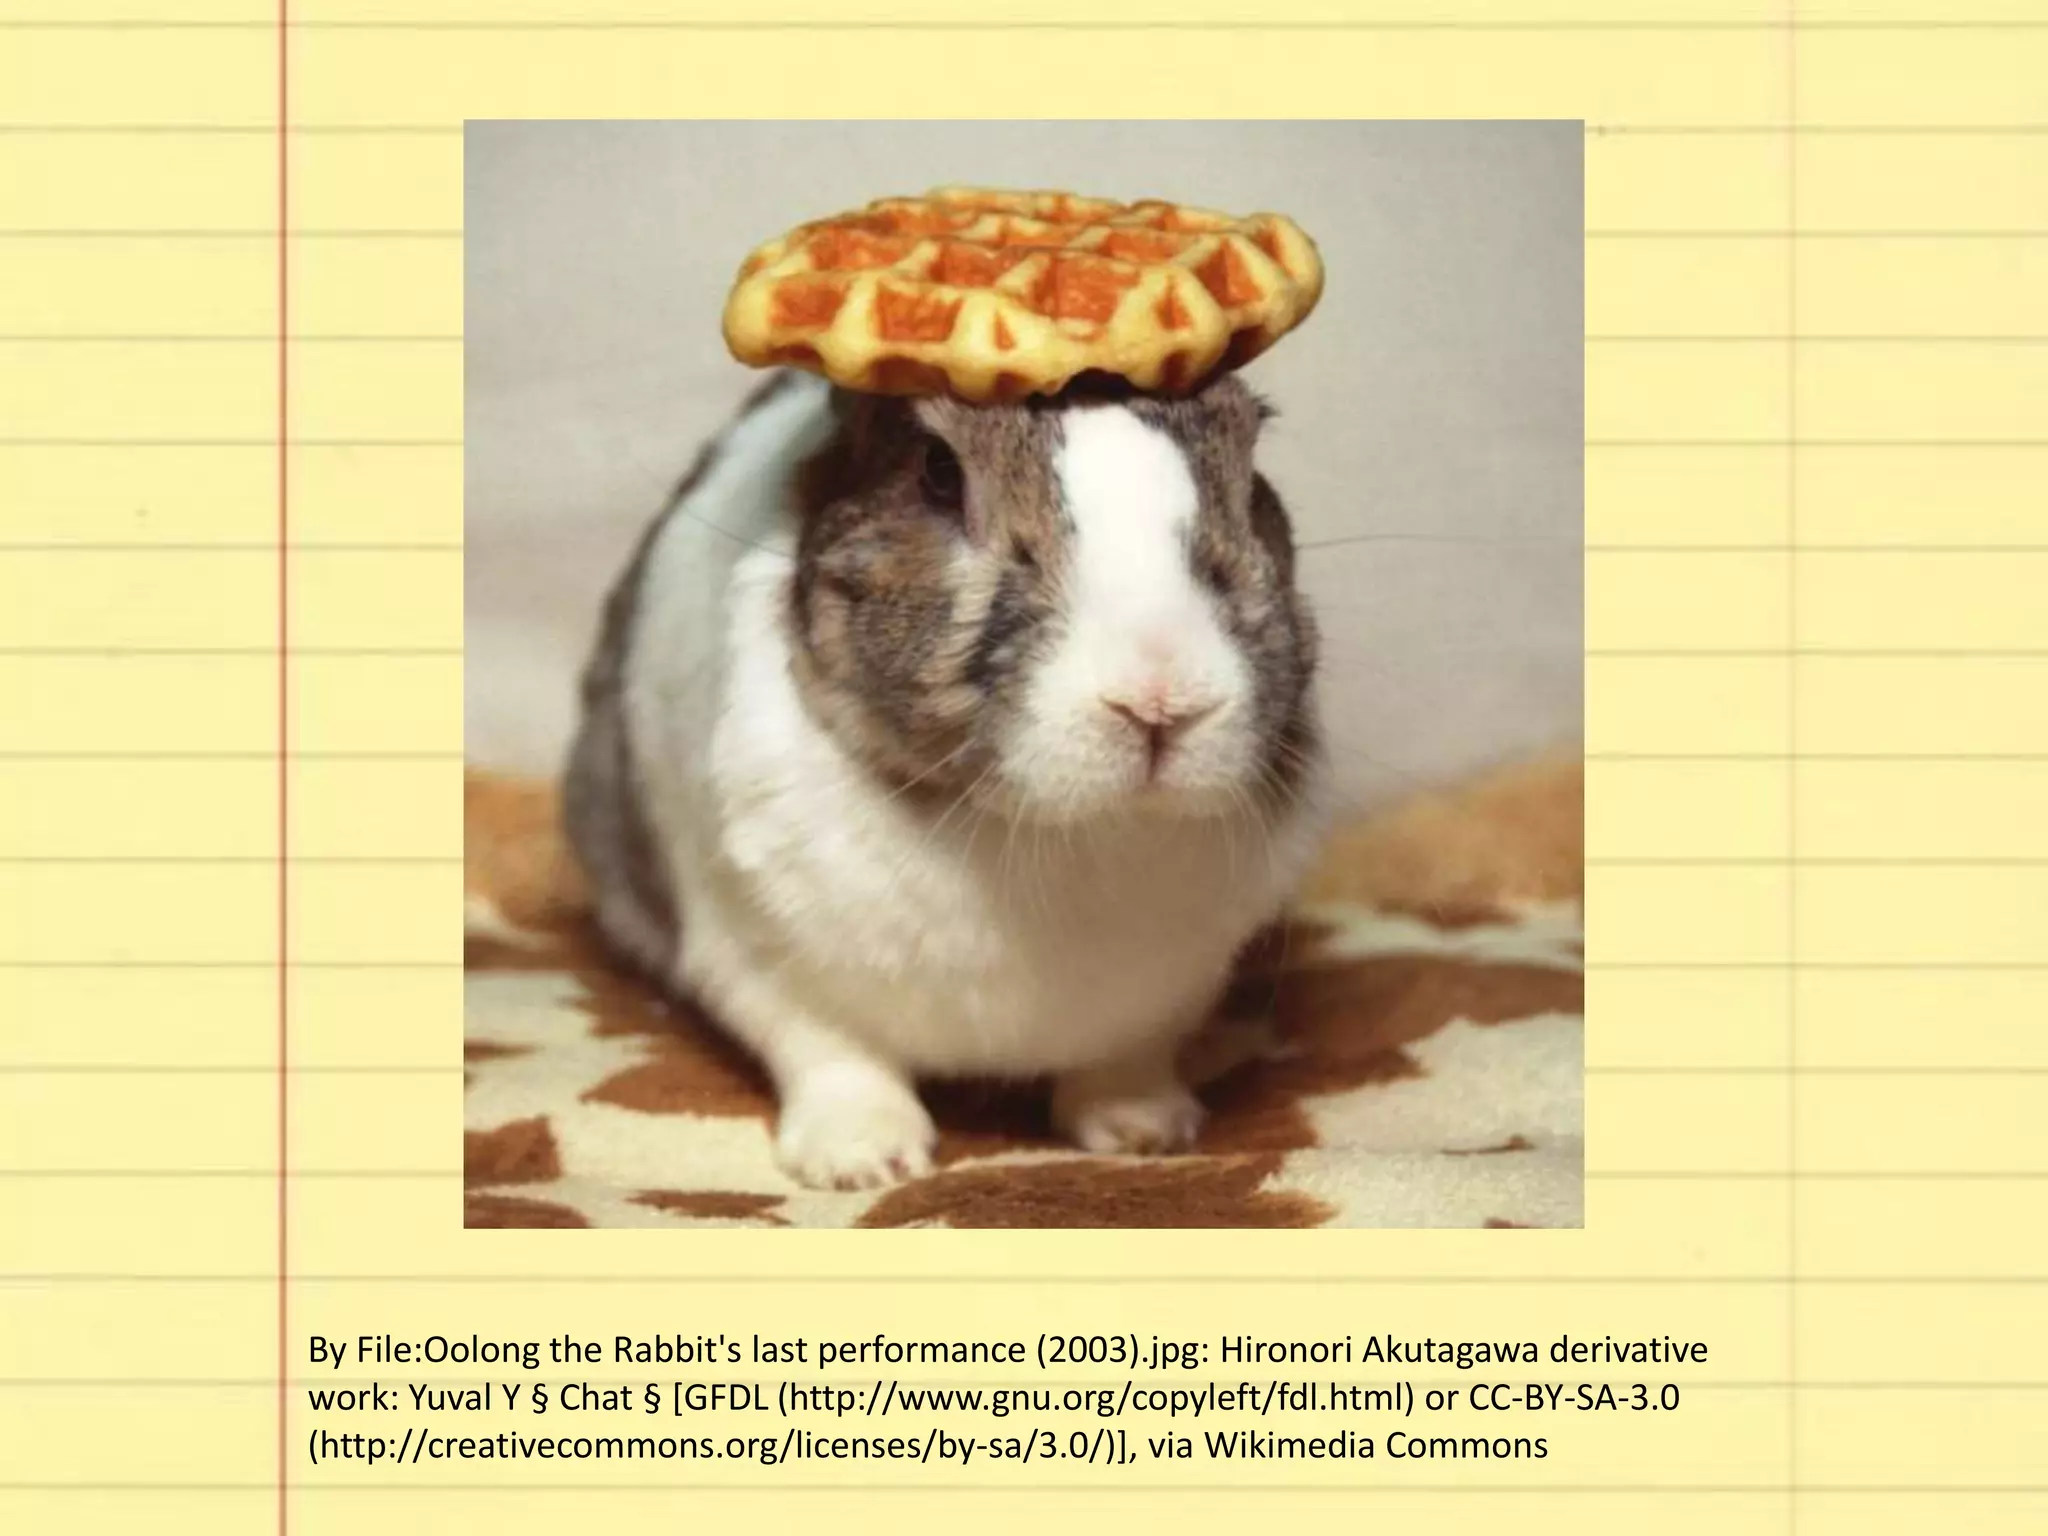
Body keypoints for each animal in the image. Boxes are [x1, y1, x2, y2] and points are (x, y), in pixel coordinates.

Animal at [564, 367, 1330, 1191]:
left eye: (1251, 469)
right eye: (936, 471)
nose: (1159, 698)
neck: (1048, 834)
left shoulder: (1170, 993)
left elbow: (1127, 1062)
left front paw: (1146, 1132)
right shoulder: (757, 957)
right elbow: (831, 1053)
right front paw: (861, 1162)